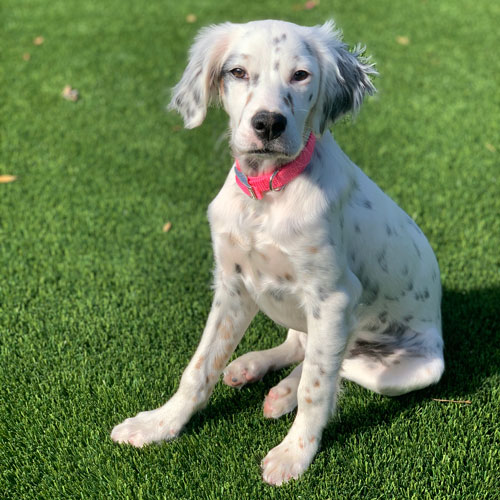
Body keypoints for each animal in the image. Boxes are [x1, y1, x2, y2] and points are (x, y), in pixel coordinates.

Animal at [111, 19, 444, 484]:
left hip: (409, 367)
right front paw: (160, 424)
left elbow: (317, 388)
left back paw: (283, 392)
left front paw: (294, 454)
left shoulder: (333, 298)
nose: (268, 123)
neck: (266, 194)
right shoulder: (233, 286)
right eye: (237, 72)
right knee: (302, 347)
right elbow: (199, 368)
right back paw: (251, 367)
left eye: (301, 75)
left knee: (335, 365)